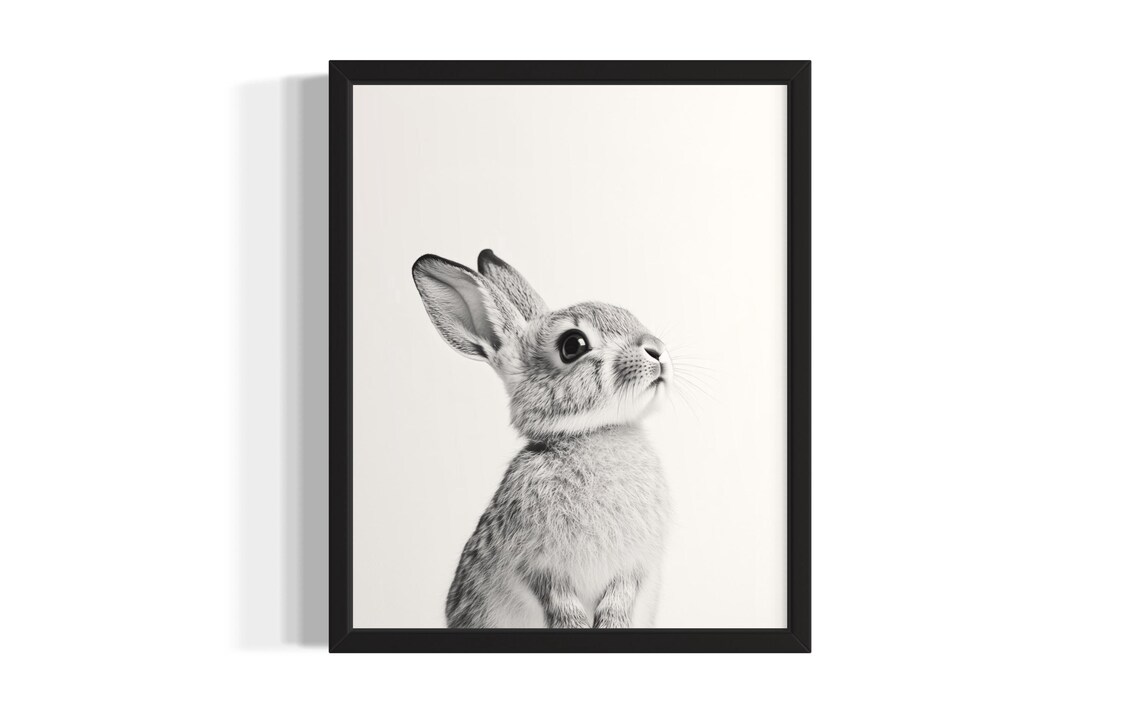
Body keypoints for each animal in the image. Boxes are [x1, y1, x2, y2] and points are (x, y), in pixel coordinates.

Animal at [411, 249, 672, 628]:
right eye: (573, 345)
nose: (657, 351)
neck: (593, 432)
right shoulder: (539, 565)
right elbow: (559, 600)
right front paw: (576, 626)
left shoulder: (634, 566)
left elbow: (620, 597)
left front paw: (612, 623)